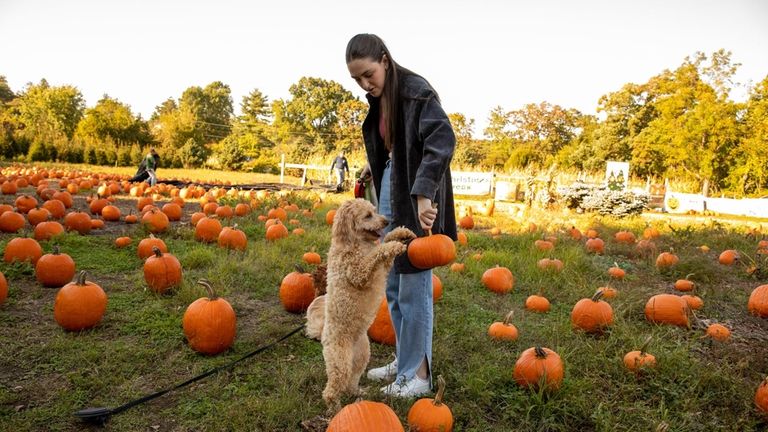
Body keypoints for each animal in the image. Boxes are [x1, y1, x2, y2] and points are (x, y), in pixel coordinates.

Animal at [318, 197, 414, 410]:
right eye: (368, 215)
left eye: (374, 210)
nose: (387, 221)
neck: (354, 242)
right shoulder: (358, 272)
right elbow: (377, 252)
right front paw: (394, 245)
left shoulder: (383, 266)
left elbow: (383, 244)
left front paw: (400, 233)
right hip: (340, 362)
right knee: (331, 389)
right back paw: (335, 408)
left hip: (362, 356)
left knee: (351, 381)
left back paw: (358, 393)